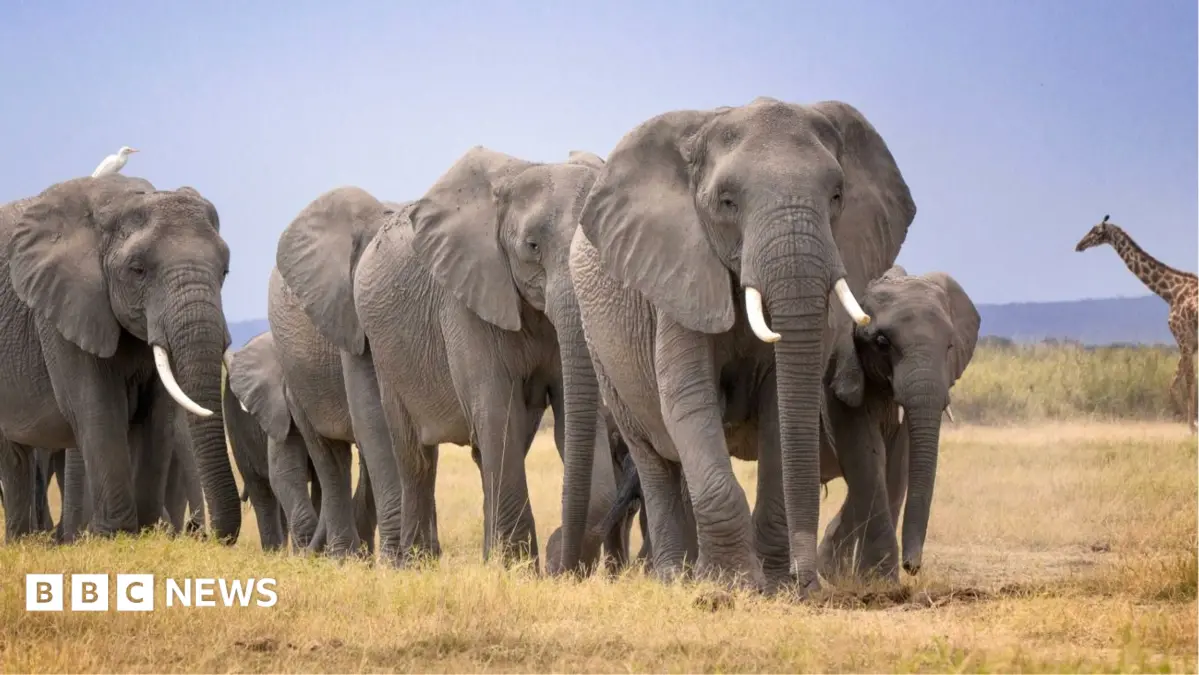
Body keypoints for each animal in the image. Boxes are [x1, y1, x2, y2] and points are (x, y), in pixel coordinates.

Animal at [0, 175, 241, 541]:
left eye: (225, 271)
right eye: (138, 270)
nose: (201, 532)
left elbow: (158, 416)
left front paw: (146, 532)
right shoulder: (64, 307)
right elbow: (98, 407)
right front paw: (114, 536)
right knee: (13, 458)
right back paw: (24, 542)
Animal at [223, 330, 375, 554]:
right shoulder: (279, 408)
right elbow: (284, 472)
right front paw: (304, 554)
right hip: (236, 425)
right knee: (261, 490)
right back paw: (273, 553)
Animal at [275, 147, 610, 570]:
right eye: (532, 246)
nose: (559, 562)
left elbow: (578, 412)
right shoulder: (463, 301)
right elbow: (495, 412)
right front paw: (517, 569)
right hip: (381, 349)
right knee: (411, 455)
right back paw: (411, 564)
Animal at [569, 97, 917, 594]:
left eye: (836, 196)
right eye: (727, 202)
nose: (808, 584)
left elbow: (779, 407)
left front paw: (773, 587)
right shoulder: (679, 272)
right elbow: (689, 399)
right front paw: (730, 585)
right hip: (602, 350)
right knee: (653, 455)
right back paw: (675, 579)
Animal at [821, 265, 979, 578]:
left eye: (950, 346)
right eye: (882, 343)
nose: (912, 566)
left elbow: (898, 462)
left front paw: (871, 579)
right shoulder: (841, 378)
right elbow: (867, 456)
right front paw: (880, 580)